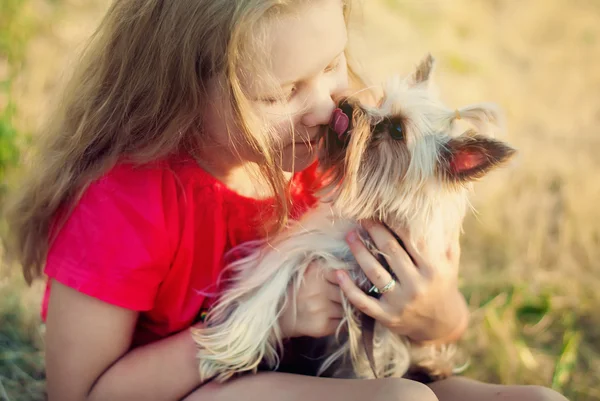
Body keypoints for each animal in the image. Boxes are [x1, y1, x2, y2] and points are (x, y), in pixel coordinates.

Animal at [191, 53, 516, 382]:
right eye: (382, 101)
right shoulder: (305, 245)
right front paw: (225, 355)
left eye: (397, 130)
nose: (346, 106)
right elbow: (266, 287)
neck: (378, 222)